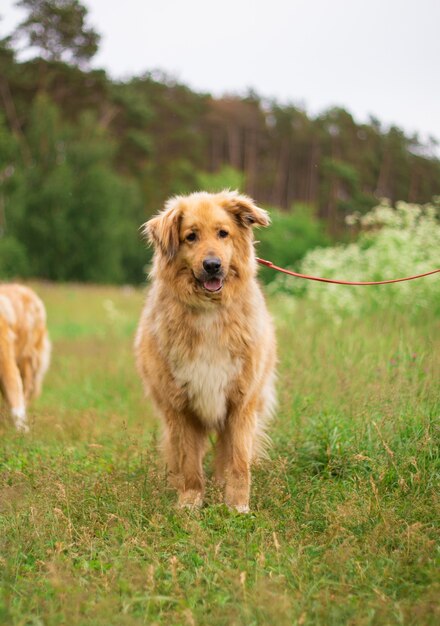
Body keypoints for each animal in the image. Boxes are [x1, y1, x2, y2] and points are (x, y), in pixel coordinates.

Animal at [136, 190, 276, 512]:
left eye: (223, 233)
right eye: (191, 237)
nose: (212, 265)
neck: (209, 312)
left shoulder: (241, 401)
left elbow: (238, 461)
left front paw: (237, 506)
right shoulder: (180, 407)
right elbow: (189, 462)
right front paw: (189, 502)